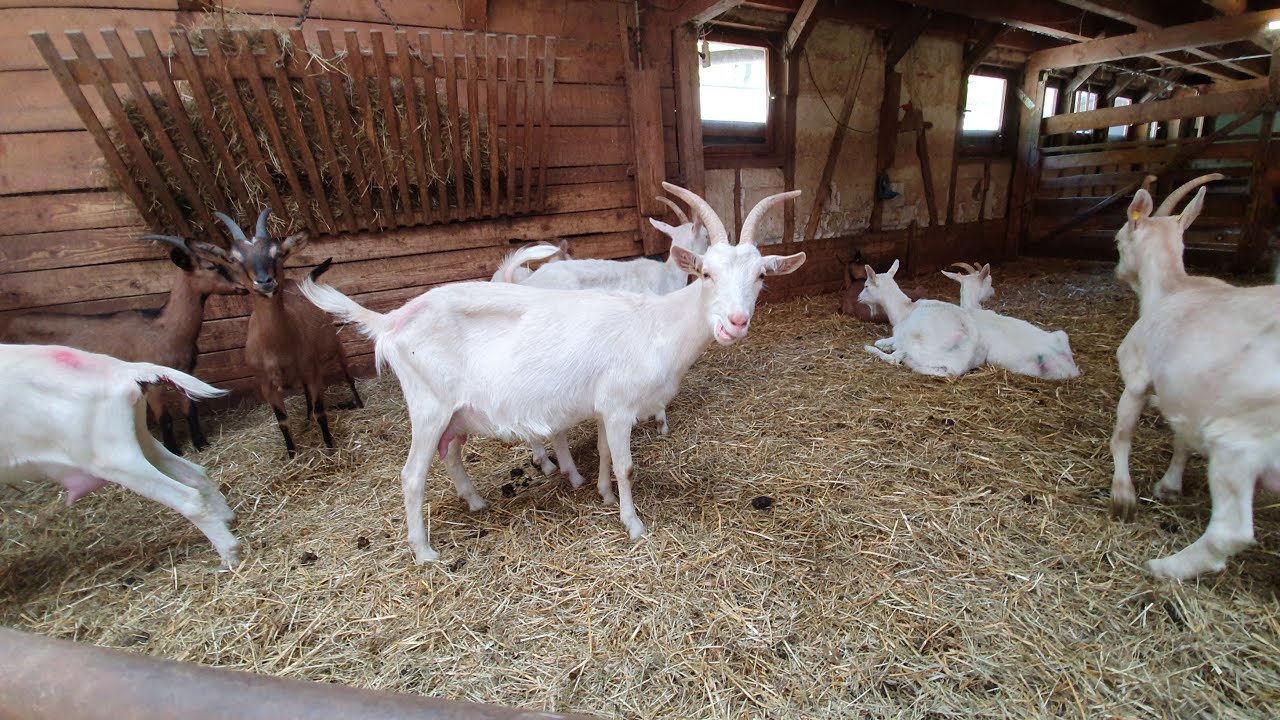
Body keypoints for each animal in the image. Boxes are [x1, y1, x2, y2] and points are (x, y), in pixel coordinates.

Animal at [0, 236, 246, 454]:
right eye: (212, 266)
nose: (243, 286)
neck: (164, 328)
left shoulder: (185, 373)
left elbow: (190, 409)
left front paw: (201, 443)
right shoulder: (153, 381)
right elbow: (164, 416)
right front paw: (174, 450)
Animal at [0, 344, 240, 567]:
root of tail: (125, 370)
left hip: (111, 458)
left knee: (188, 498)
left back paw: (229, 555)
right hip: (139, 439)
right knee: (196, 474)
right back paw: (227, 518)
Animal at [207, 209, 363, 458]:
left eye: (277, 253)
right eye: (234, 260)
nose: (264, 282)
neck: (277, 349)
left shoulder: (313, 372)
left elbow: (321, 411)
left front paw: (329, 448)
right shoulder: (266, 385)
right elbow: (282, 420)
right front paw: (292, 454)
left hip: (334, 345)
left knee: (346, 374)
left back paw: (356, 403)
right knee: (308, 396)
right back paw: (307, 419)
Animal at [300, 183, 805, 563]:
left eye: (760, 276)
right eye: (706, 274)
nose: (735, 323)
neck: (656, 323)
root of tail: (393, 320)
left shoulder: (604, 406)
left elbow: (603, 453)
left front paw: (601, 493)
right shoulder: (620, 406)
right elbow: (625, 464)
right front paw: (633, 524)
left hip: (454, 413)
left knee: (451, 452)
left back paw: (476, 501)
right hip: (428, 407)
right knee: (411, 476)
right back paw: (424, 552)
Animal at [1108, 173, 1280, 579]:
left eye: (1119, 240)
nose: (1117, 271)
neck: (1174, 288)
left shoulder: (1136, 376)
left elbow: (1122, 435)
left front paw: (1123, 496)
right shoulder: (1185, 396)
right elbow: (1182, 439)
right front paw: (1169, 487)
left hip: (1238, 441)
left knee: (1231, 532)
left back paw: (1164, 567)